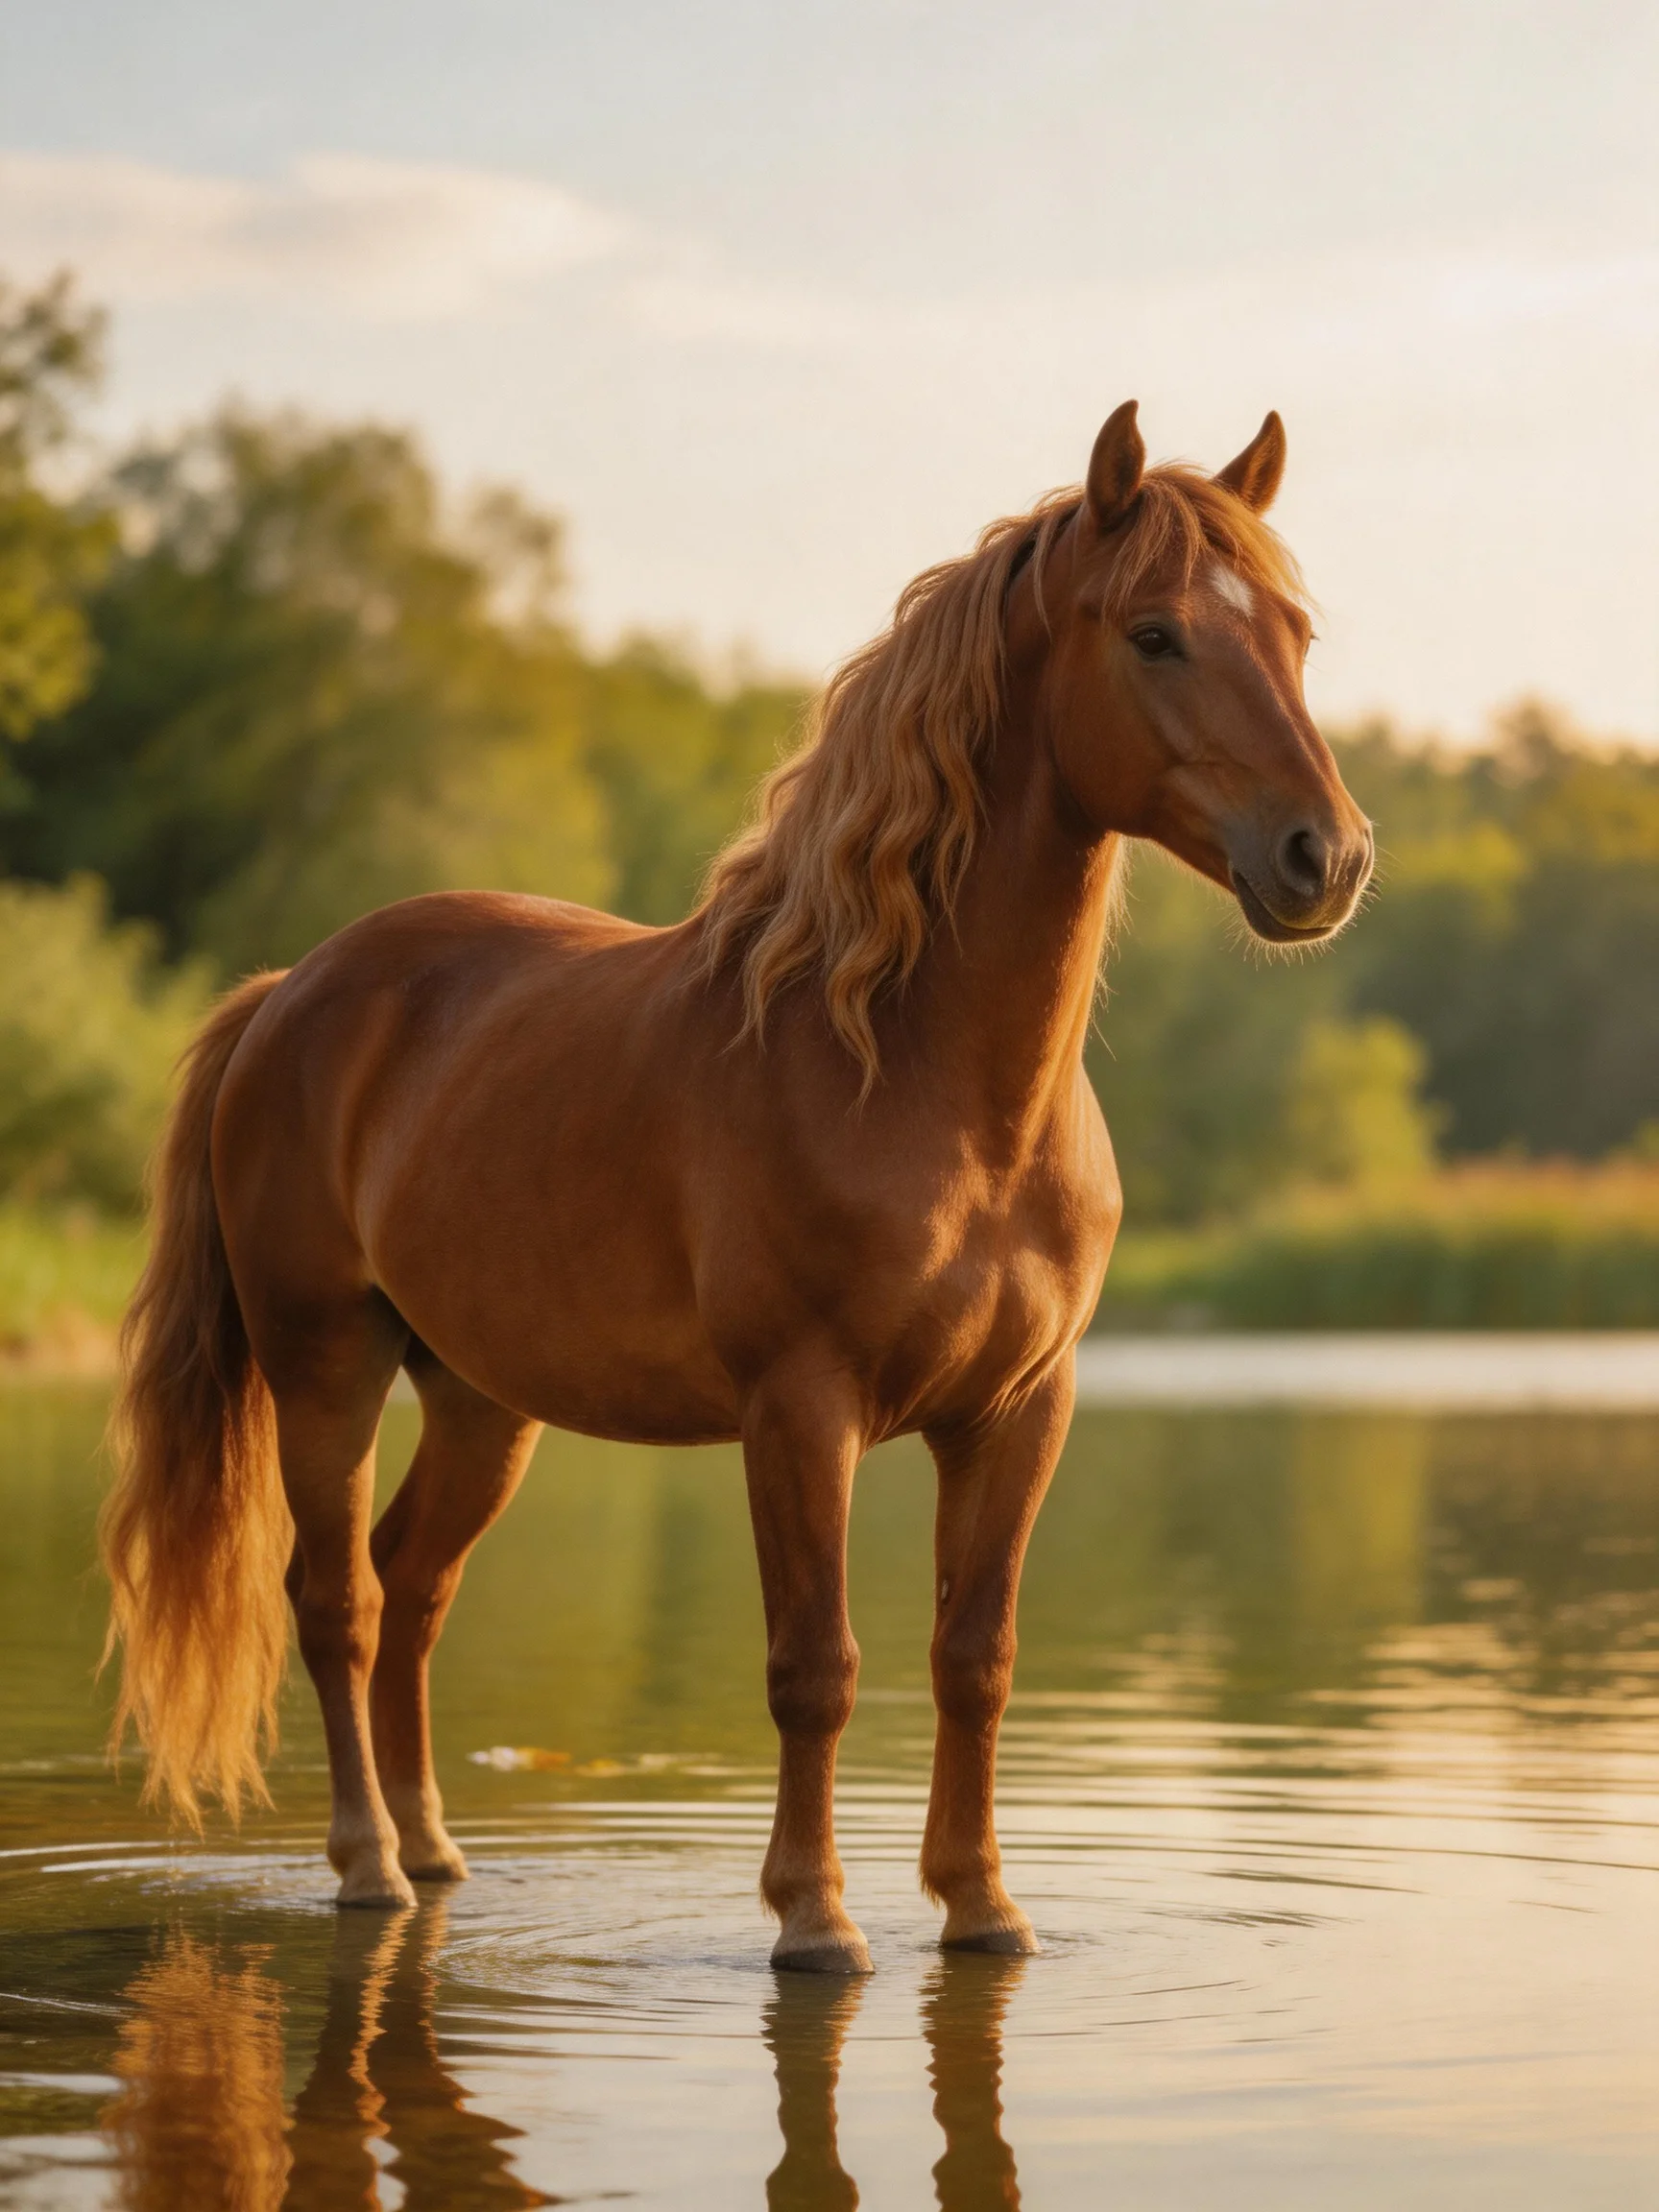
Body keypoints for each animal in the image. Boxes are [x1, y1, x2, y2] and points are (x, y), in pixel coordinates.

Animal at [100, 401, 1373, 1972]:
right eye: (1155, 635)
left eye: (1297, 634)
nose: (1326, 858)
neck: (922, 1075)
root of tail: (292, 991)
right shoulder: (800, 1409)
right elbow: (815, 1666)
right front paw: (815, 1918)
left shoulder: (1019, 1413)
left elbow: (977, 1656)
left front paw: (983, 1907)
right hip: (324, 1366)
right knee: (336, 1600)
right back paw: (369, 1867)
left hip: (480, 1400)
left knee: (415, 1587)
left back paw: (437, 1849)